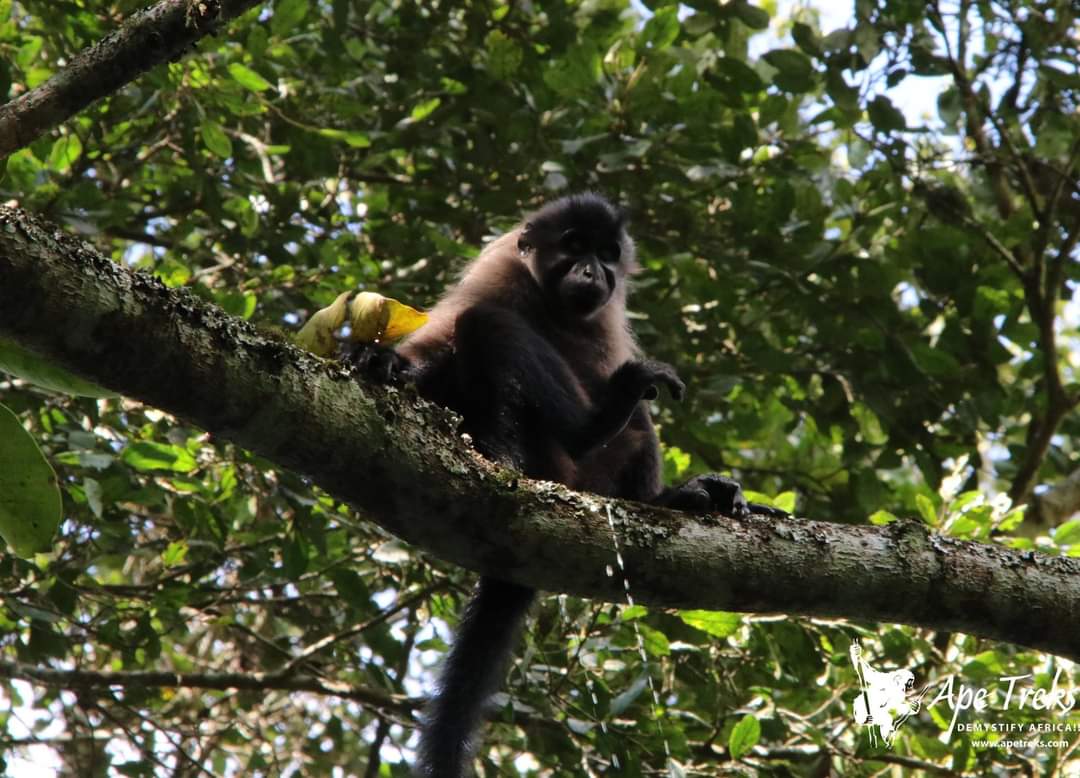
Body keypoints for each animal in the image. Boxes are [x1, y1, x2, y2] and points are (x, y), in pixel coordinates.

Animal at [356, 193, 781, 776]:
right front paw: (384, 360)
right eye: (575, 246)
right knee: (487, 327)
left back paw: (659, 495)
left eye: (606, 254)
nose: (591, 271)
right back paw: (577, 430)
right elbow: (444, 337)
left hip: (596, 474)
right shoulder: (499, 269)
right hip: (553, 458)